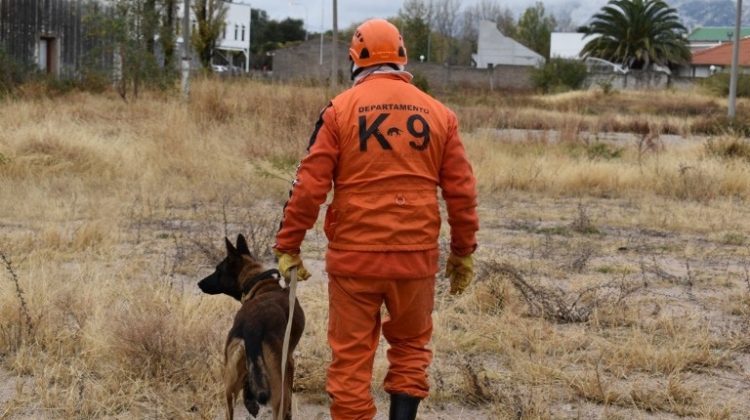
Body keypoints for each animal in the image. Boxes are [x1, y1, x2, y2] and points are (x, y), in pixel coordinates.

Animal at [200, 235, 308, 420]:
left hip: (228, 391)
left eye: (218, 270)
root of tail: (252, 328)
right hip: (279, 392)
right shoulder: (290, 362)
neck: (261, 283)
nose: (199, 283)